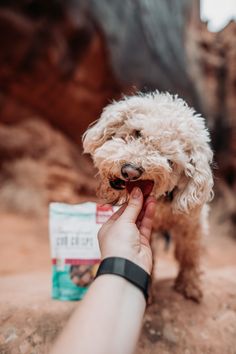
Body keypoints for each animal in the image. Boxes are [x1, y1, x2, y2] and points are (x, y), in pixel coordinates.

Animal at [83, 92, 214, 302]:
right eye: (137, 133)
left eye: (169, 160)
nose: (129, 171)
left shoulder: (192, 225)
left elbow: (190, 254)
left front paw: (190, 285)